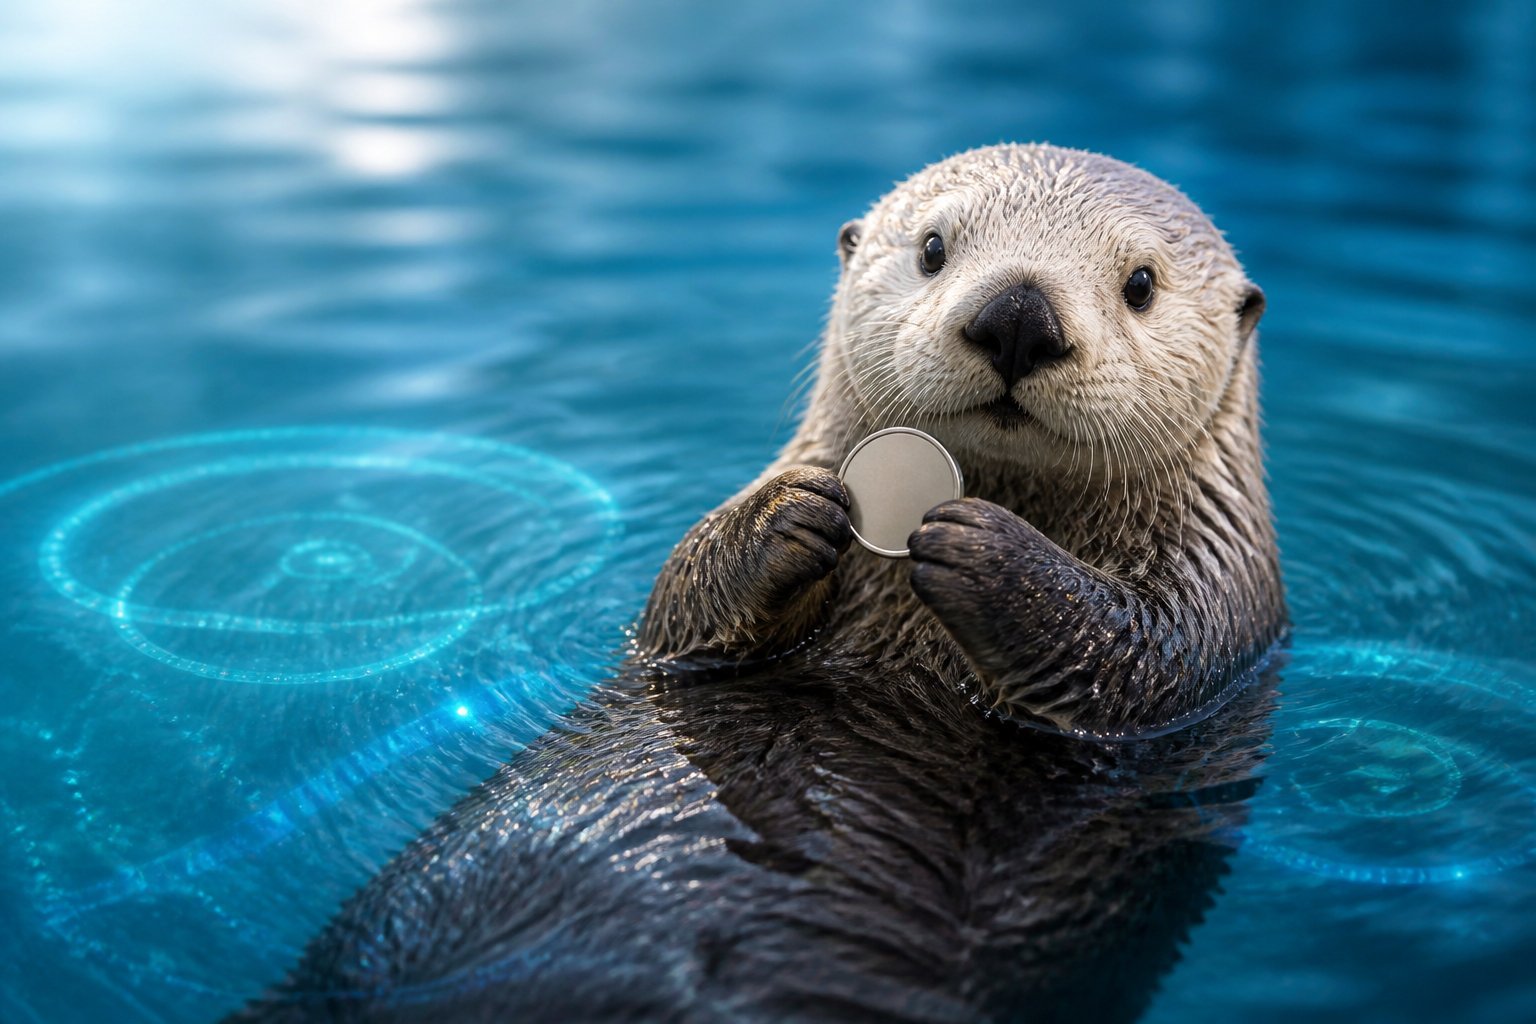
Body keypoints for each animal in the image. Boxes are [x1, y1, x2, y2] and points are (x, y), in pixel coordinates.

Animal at [233, 143, 1287, 1022]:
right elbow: (676, 607)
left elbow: (1141, 663)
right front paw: (788, 515)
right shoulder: (684, 620)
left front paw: (990, 552)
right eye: (934, 247)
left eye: (1140, 283)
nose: (1018, 315)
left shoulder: (1224, 601)